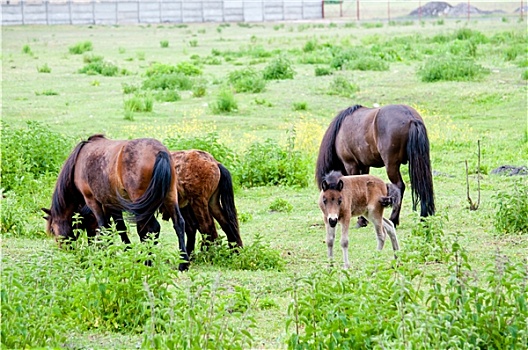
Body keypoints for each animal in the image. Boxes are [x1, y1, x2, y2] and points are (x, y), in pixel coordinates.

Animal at [42, 134, 189, 270]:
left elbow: (104, 227)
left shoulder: (92, 200)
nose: (64, 251)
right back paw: (183, 263)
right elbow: (119, 228)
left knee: (153, 227)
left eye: (53, 230)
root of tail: (160, 152)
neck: (78, 161)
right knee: (179, 224)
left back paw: (148, 261)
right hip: (170, 197)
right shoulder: (111, 204)